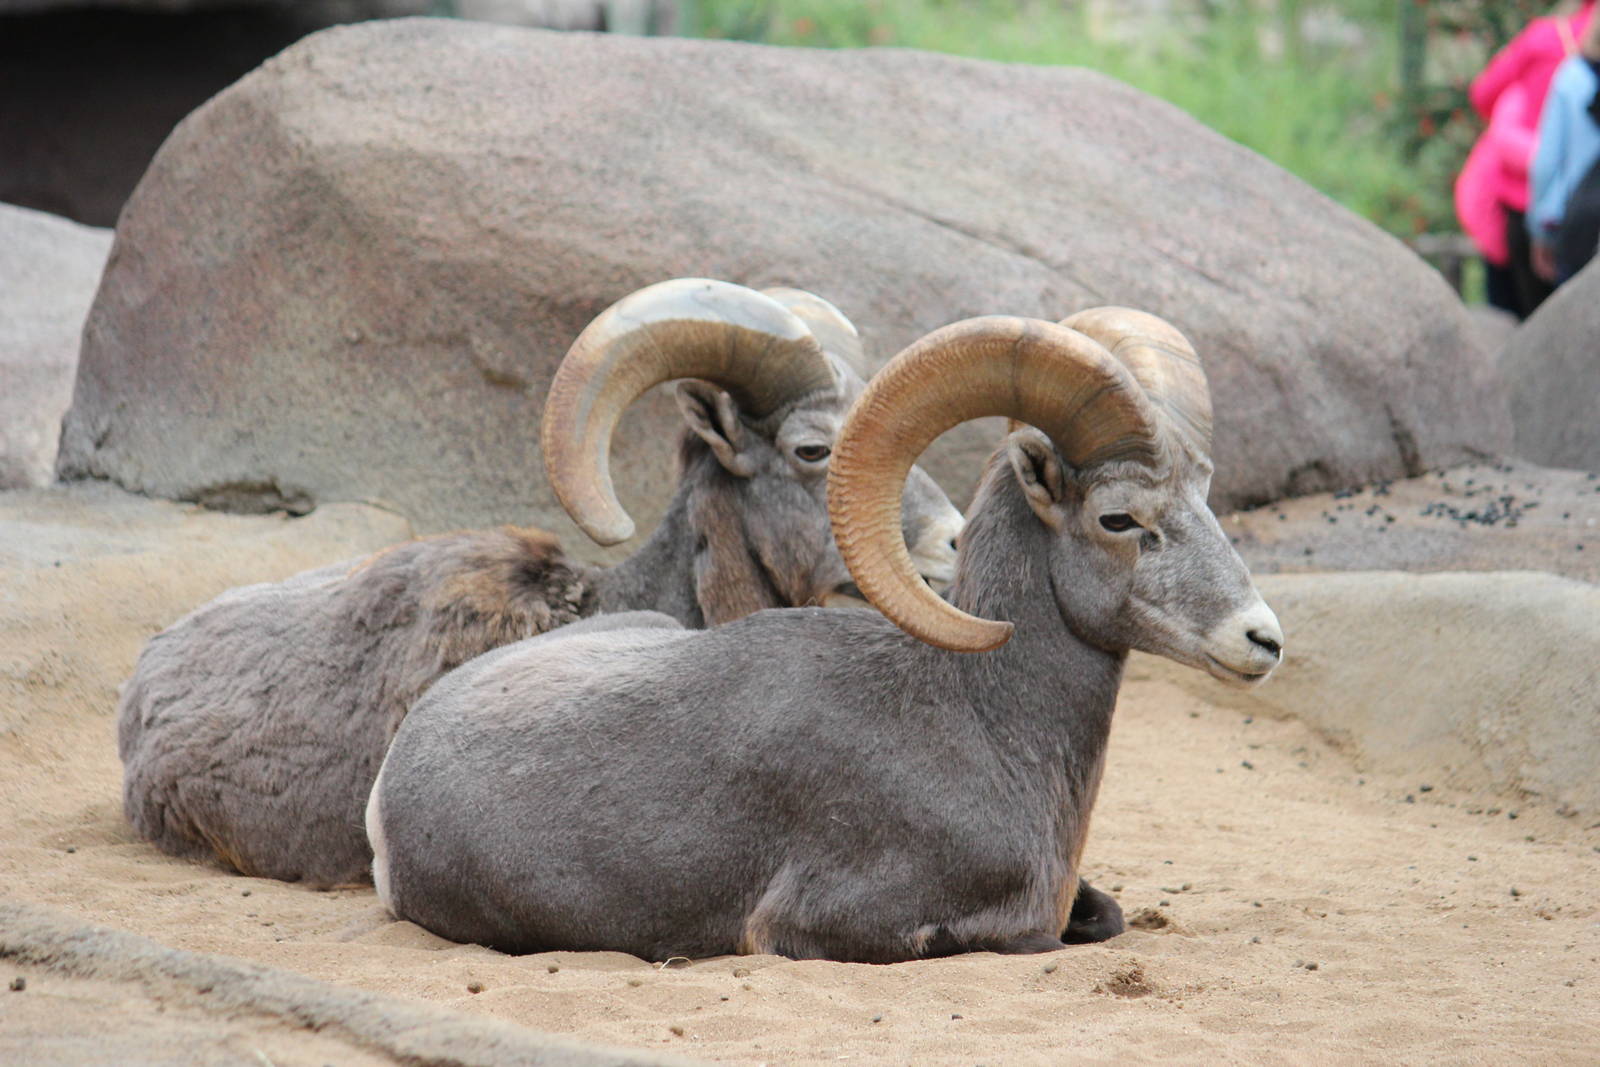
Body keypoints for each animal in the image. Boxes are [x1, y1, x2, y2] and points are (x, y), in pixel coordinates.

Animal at [367, 308, 1284, 961]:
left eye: (1203, 492)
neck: (986, 724)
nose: (1262, 639)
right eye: (1119, 518)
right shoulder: (829, 925)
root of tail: (389, 787)